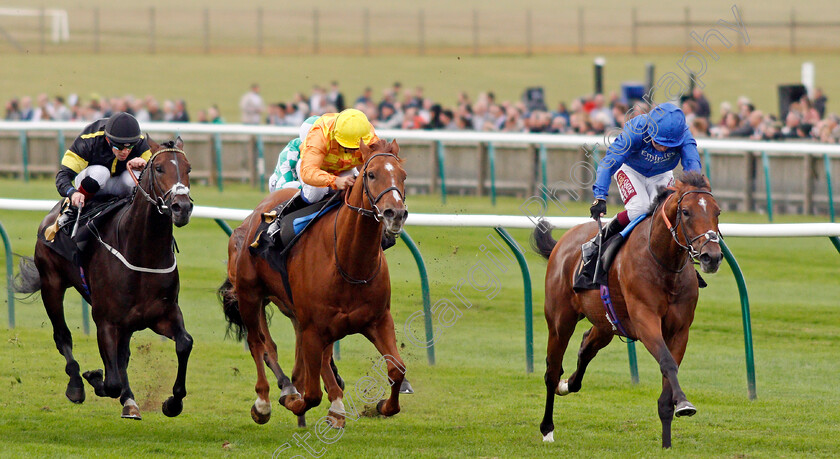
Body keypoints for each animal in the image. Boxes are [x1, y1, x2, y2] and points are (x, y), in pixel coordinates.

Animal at [15, 137, 194, 420]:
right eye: (159, 169)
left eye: (188, 169)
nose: (182, 207)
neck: (143, 253)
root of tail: (54, 212)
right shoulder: (106, 320)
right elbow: (111, 382)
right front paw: (94, 377)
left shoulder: (163, 313)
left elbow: (184, 343)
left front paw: (172, 402)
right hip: (51, 284)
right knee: (62, 336)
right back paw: (77, 386)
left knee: (123, 355)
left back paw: (129, 401)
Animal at [221, 139, 408, 428]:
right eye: (371, 174)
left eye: (403, 176)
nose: (395, 213)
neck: (348, 261)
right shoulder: (313, 327)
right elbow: (310, 394)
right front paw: (291, 400)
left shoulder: (378, 320)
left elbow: (396, 369)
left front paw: (382, 405)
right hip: (250, 294)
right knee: (258, 343)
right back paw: (264, 402)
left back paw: (334, 406)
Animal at [532, 172, 720, 450]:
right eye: (686, 212)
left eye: (717, 212)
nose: (712, 257)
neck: (663, 264)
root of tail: (564, 241)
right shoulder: (645, 321)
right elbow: (667, 362)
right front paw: (685, 403)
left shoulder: (680, 330)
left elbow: (668, 377)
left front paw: (667, 442)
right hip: (560, 320)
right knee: (552, 370)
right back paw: (547, 429)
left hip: (606, 323)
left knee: (586, 347)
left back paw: (566, 385)